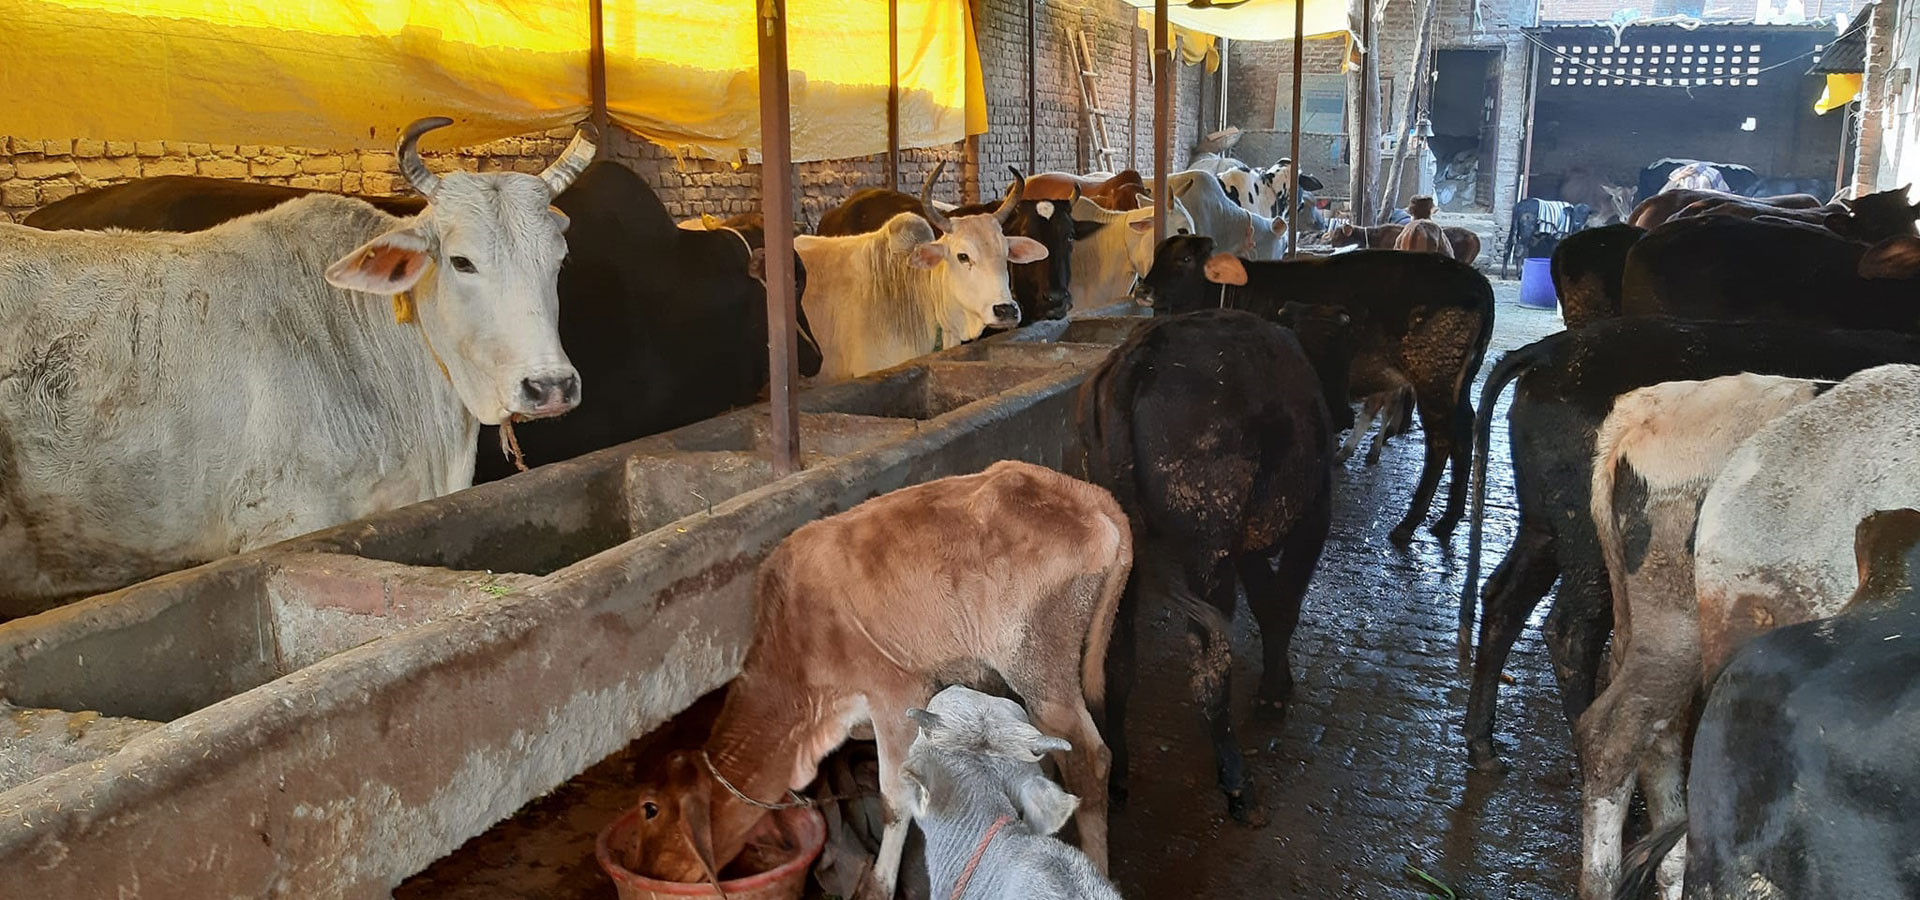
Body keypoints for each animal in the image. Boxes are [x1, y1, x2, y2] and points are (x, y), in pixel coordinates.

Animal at [624, 461, 1129, 899]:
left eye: (650, 809)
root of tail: (1089, 495)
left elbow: (893, 798)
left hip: (1038, 662)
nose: (645, 874)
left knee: (1090, 759)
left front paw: (878, 885)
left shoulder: (895, 692)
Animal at [1077, 309, 1333, 824]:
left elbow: (1269, 604)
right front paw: (1274, 694)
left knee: (1117, 661)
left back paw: (1118, 776)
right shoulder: (1313, 516)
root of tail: (1140, 354)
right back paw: (1238, 784)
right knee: (1210, 669)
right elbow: (1285, 605)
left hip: (1127, 555)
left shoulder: (1247, 547)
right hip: (1208, 548)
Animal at [1137, 238, 1495, 544]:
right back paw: (1447, 521)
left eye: (1185, 259)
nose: (1143, 289)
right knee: (1465, 433)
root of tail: (1477, 281)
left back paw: (1409, 524)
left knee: (1442, 440)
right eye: (1158, 254)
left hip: (1433, 380)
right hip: (1457, 385)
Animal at [1460, 317, 1920, 774]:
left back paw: (1484, 748)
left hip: (1546, 523)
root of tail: (1547, 352)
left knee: (1504, 596)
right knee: (1571, 630)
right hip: (1589, 539)